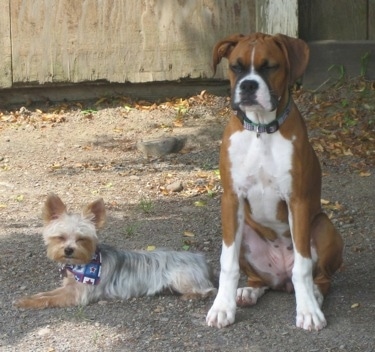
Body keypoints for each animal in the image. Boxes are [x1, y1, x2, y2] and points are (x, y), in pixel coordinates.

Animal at [207, 32, 346, 330]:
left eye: (270, 67)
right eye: (236, 67)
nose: (248, 85)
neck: (261, 129)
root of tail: (281, 279)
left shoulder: (298, 201)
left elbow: (302, 268)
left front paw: (308, 311)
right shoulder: (231, 199)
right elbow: (228, 263)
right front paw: (222, 307)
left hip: (323, 226)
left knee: (321, 277)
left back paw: (315, 295)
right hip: (245, 232)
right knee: (260, 279)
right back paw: (248, 291)